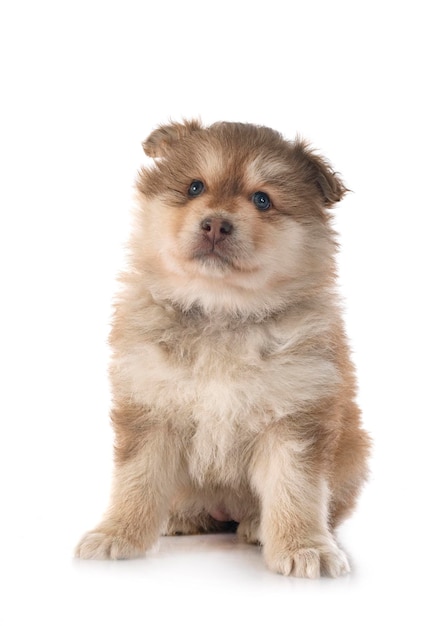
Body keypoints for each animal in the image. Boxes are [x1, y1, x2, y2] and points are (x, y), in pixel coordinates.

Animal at [75, 120, 368, 576]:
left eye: (262, 199)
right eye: (195, 187)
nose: (215, 224)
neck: (222, 311)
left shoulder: (296, 415)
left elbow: (296, 489)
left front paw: (305, 548)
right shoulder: (150, 408)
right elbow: (137, 480)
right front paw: (117, 534)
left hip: (353, 452)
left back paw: (256, 526)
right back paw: (179, 518)